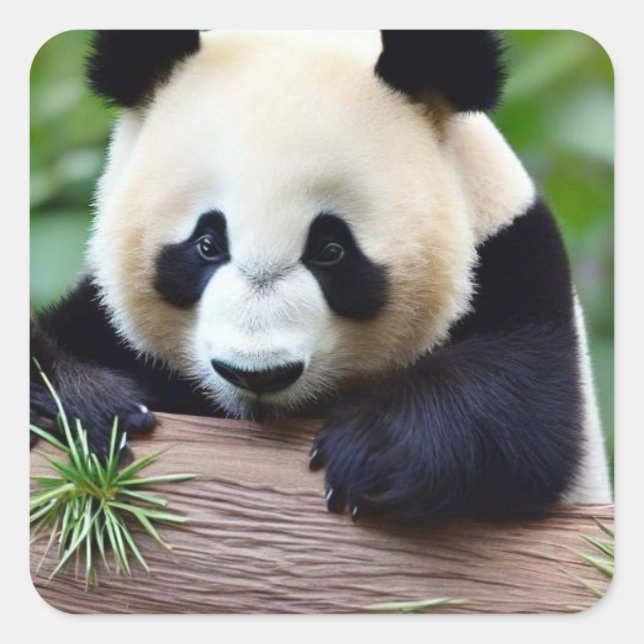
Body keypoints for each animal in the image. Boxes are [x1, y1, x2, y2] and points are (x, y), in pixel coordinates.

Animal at [30, 29, 611, 522]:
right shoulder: (104, 316)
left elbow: (521, 407)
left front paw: (372, 451)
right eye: (207, 244)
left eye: (331, 249)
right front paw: (88, 406)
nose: (257, 373)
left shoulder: (513, 260)